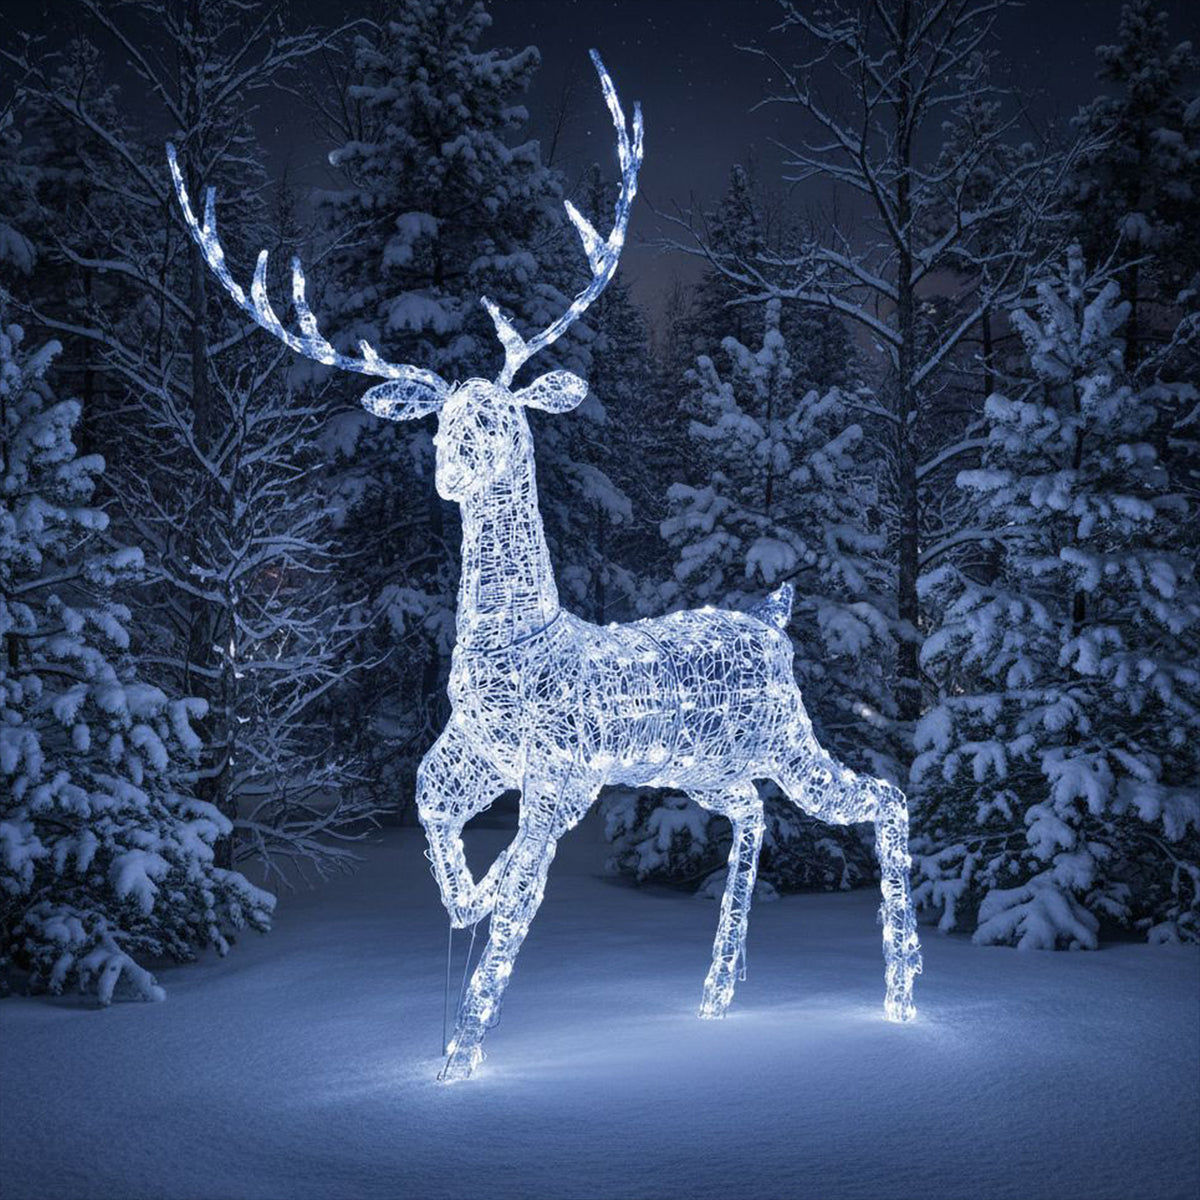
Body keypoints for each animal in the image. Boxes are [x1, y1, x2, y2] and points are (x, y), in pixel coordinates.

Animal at [168, 49, 921, 1083]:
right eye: (443, 418)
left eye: (499, 415)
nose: (449, 469)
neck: (515, 642)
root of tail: (771, 620)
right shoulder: (474, 751)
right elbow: (428, 811)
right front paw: (466, 904)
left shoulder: (561, 773)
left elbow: (520, 902)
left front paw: (459, 1053)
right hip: (703, 761)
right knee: (754, 819)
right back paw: (717, 996)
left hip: (780, 737)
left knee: (885, 798)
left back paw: (900, 1001)